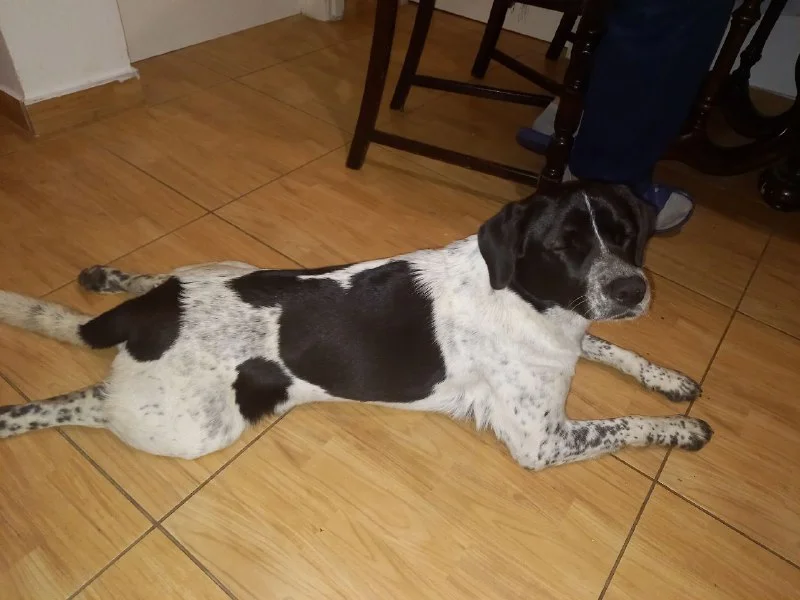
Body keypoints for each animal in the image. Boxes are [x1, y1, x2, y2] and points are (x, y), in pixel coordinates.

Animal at [0, 181, 711, 469]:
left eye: (624, 234)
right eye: (565, 247)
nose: (633, 288)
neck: (532, 302)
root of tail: (154, 316)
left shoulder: (578, 336)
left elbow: (615, 351)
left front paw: (671, 379)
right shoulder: (543, 441)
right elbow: (629, 423)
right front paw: (683, 428)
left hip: (226, 271)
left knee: (144, 285)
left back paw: (107, 279)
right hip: (189, 424)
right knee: (75, 402)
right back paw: (18, 414)